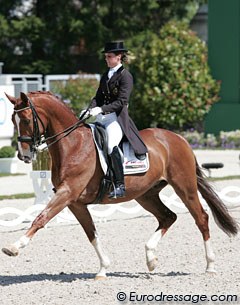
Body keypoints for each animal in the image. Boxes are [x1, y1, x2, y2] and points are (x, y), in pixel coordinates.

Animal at [2, 90, 238, 278]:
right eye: (13, 121)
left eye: (26, 119)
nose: (23, 155)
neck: (73, 145)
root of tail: (179, 138)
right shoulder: (75, 202)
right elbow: (91, 233)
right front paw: (103, 269)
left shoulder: (67, 193)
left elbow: (41, 218)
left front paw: (14, 247)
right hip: (146, 194)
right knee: (168, 216)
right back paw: (151, 259)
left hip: (184, 186)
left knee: (201, 218)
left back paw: (210, 266)